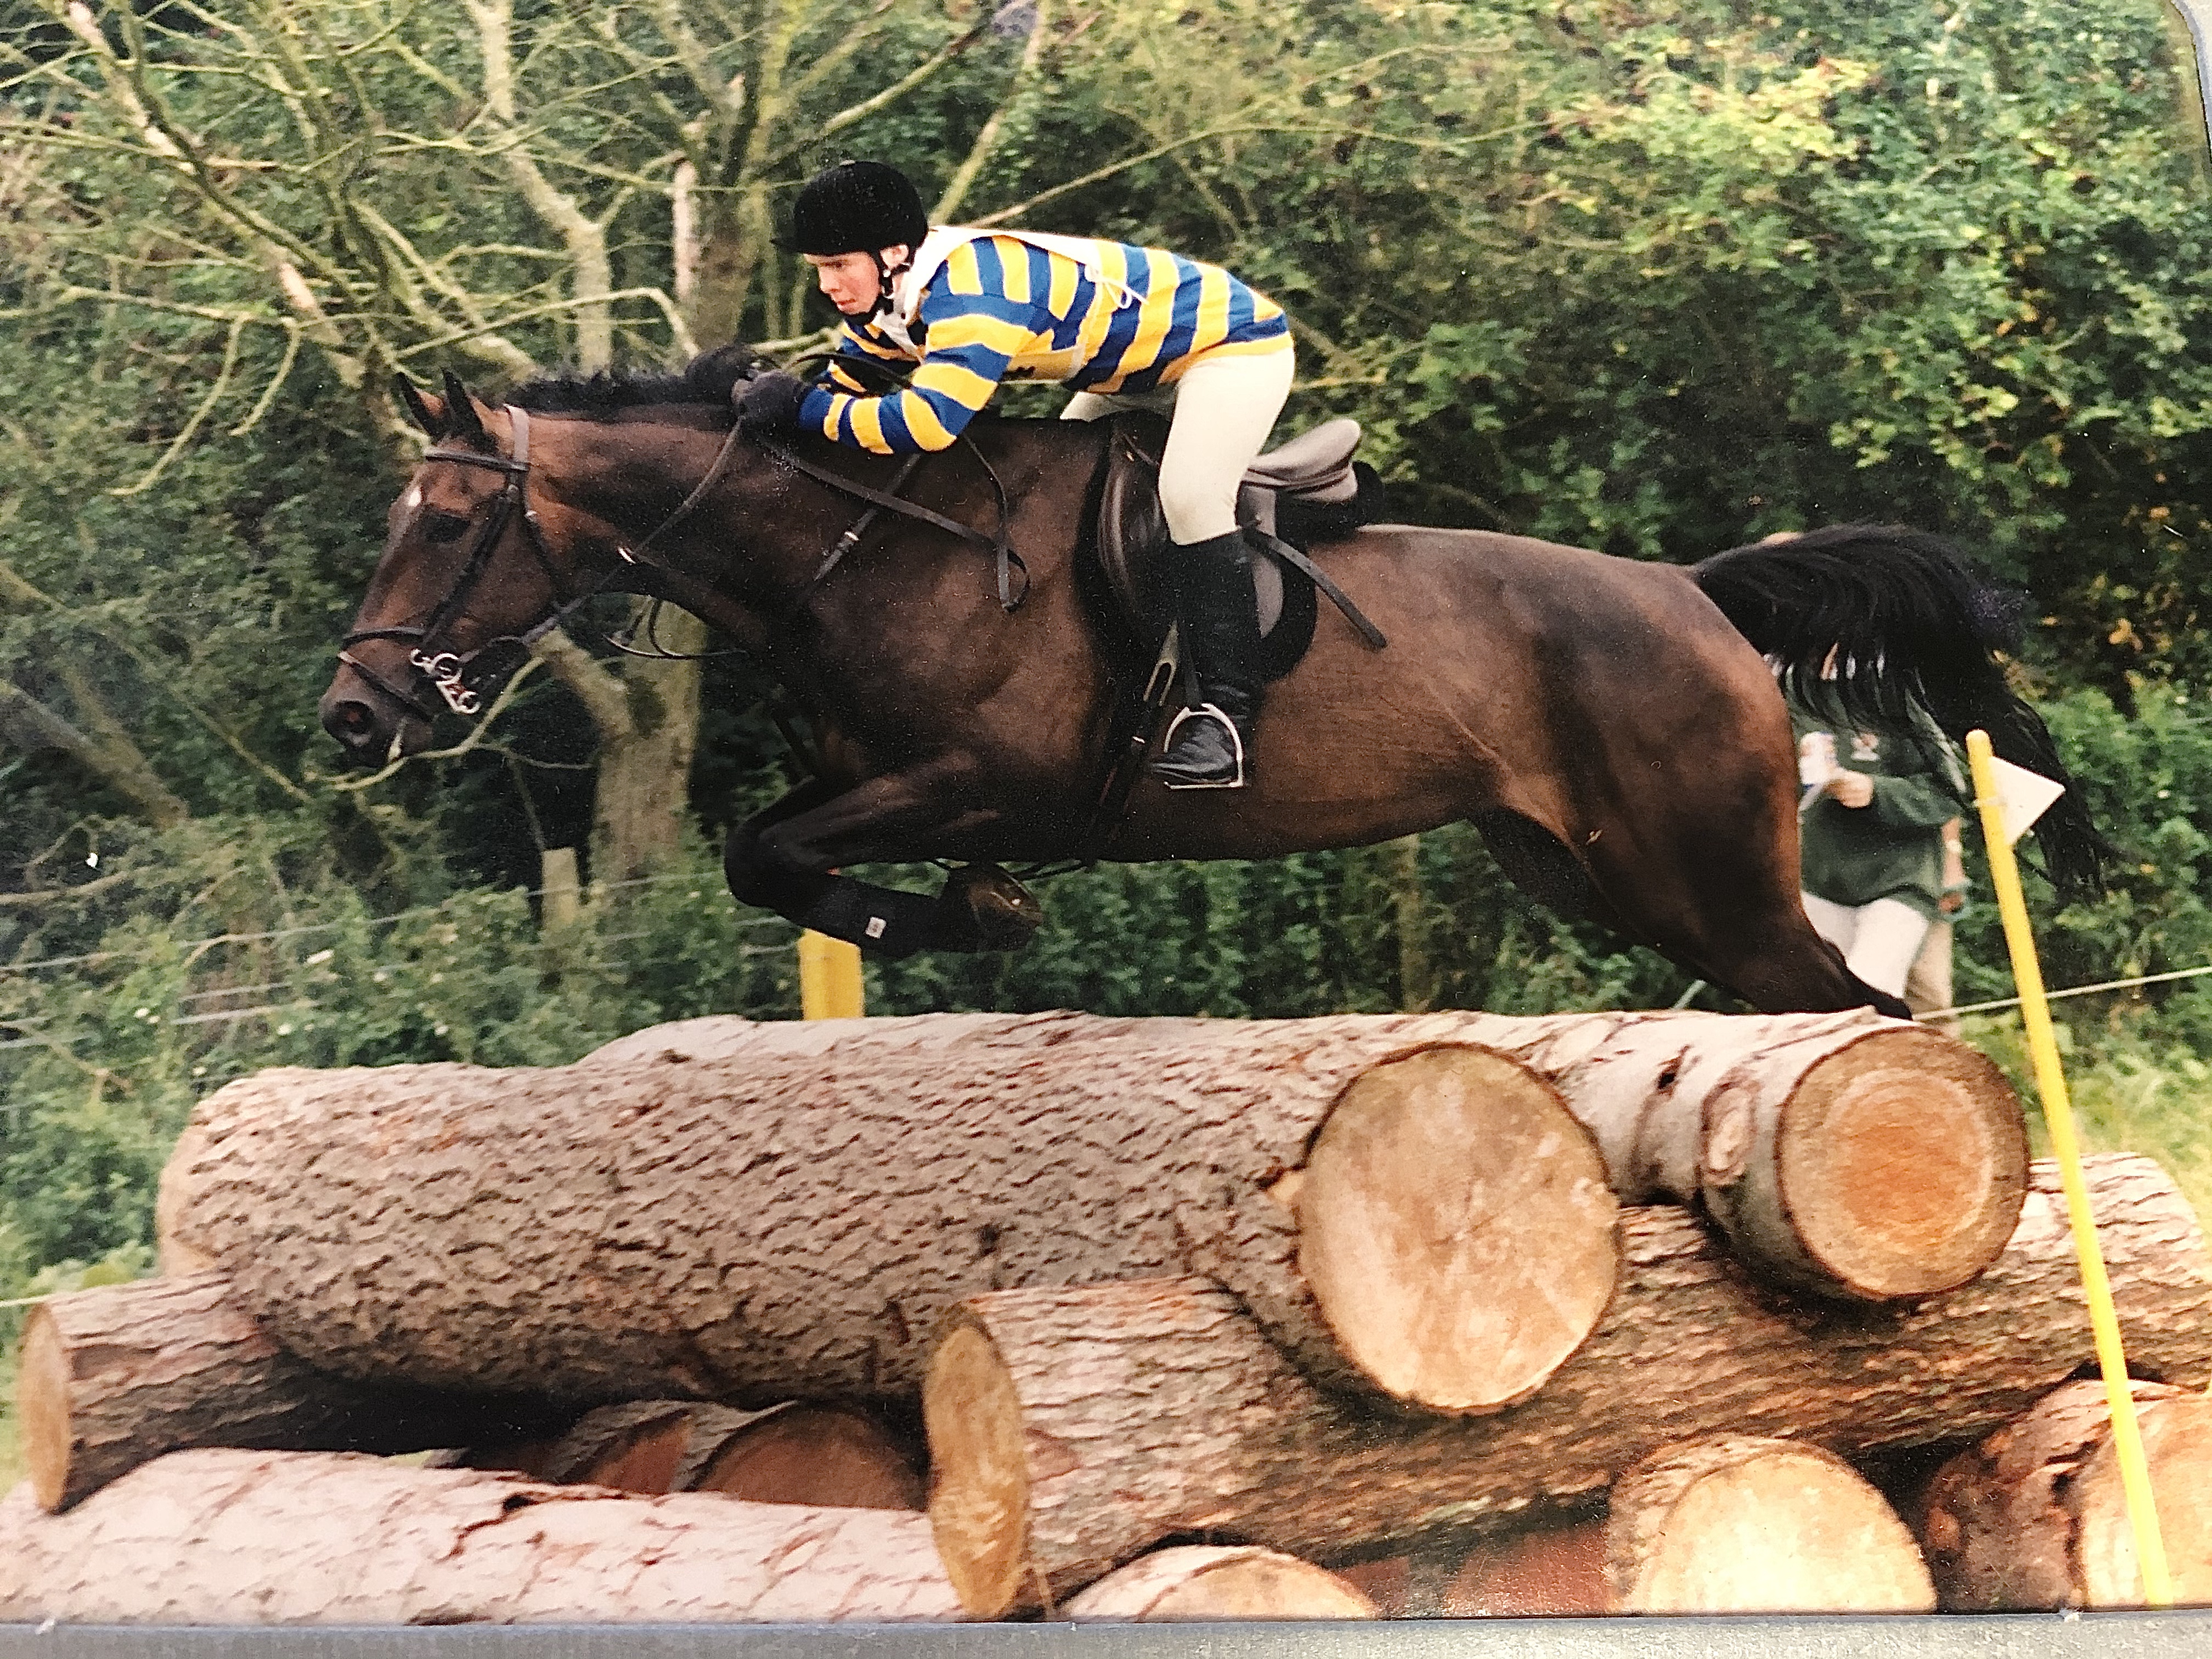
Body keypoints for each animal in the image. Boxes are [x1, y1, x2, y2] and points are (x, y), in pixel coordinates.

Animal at [320, 345, 2097, 1022]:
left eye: (453, 523)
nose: (356, 714)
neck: (869, 543)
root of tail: (1696, 594)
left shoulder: (993, 780)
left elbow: (779, 854)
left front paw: (943, 919)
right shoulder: (877, 780)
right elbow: (772, 853)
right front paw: (945, 920)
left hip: (1705, 881)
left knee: (1863, 1014)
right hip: (1610, 879)